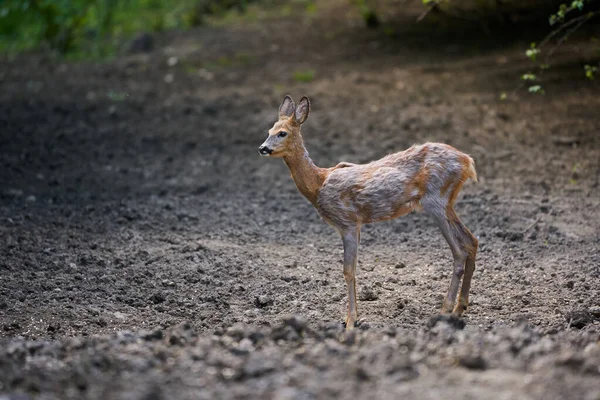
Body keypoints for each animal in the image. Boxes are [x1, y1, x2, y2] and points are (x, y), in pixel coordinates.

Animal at [258, 95, 478, 330]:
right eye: (269, 130)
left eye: (282, 133)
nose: (262, 148)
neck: (318, 183)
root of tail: (468, 162)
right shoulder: (354, 224)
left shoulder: (347, 221)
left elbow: (348, 270)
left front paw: (350, 321)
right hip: (447, 203)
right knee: (471, 240)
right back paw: (459, 308)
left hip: (436, 199)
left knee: (459, 250)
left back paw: (445, 311)